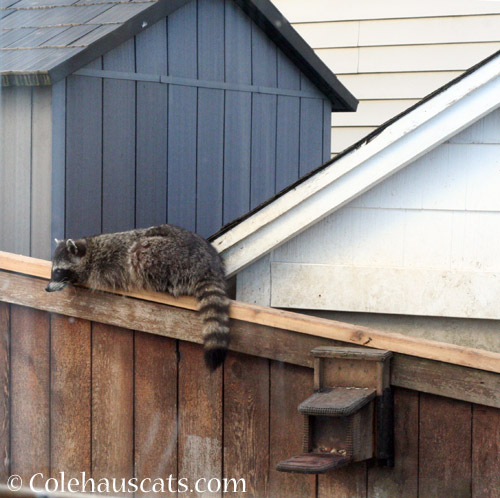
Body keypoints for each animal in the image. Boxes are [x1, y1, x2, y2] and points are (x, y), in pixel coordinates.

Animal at [46, 224, 229, 372]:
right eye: (53, 271)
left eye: (58, 271)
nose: (47, 288)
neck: (90, 249)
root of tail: (208, 264)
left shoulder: (109, 265)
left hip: (169, 255)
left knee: (139, 250)